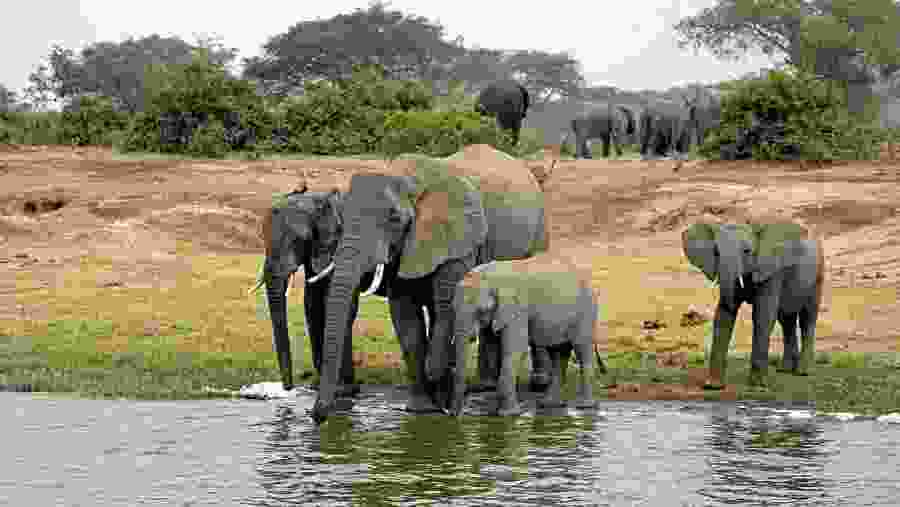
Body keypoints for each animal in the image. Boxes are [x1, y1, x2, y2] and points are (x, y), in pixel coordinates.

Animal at [256, 186, 393, 397]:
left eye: (300, 240)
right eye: (263, 237)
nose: (288, 388)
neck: (318, 198)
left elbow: (337, 304)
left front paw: (343, 391)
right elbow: (312, 304)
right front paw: (318, 387)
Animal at [310, 145, 549, 424]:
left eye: (395, 218)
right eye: (343, 220)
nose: (318, 417)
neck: (406, 177)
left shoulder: (458, 241)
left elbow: (446, 306)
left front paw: (438, 384)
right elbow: (406, 322)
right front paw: (422, 409)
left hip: (540, 229)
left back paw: (538, 383)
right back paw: (482, 386)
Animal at [444, 259, 605, 416]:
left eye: (481, 310)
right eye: (452, 308)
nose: (452, 414)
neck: (491, 278)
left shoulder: (517, 309)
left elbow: (516, 348)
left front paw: (509, 414)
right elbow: (492, 346)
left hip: (586, 311)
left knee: (581, 348)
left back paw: (585, 406)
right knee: (558, 354)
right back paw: (549, 404)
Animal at [682, 221, 826, 388]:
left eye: (747, 251)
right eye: (716, 252)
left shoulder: (772, 271)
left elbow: (762, 315)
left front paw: (757, 385)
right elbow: (724, 317)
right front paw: (713, 386)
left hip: (818, 273)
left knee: (807, 318)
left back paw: (803, 371)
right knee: (786, 319)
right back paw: (785, 370)